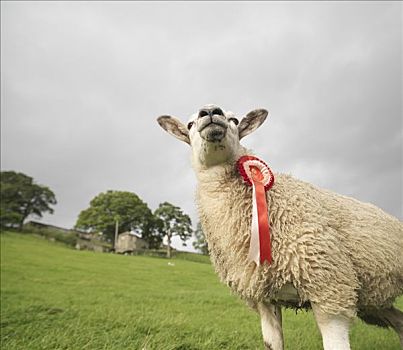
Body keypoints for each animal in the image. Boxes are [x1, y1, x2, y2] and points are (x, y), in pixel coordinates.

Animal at [155, 104, 403, 350]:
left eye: (234, 120)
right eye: (189, 124)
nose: (209, 112)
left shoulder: (330, 288)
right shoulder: (264, 298)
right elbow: (272, 343)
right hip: (374, 301)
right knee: (399, 322)